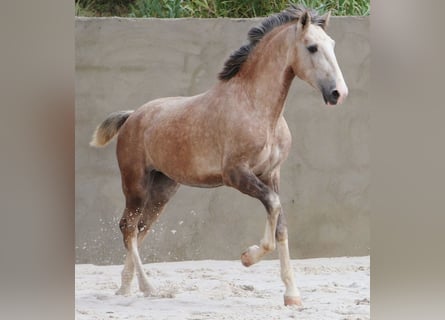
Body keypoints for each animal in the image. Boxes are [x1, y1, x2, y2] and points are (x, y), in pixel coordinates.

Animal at [90, 4, 346, 304]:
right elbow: (273, 207)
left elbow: (281, 224)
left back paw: (125, 287)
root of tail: (132, 117)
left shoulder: (272, 174)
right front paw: (248, 257)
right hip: (136, 186)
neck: (256, 107)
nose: (338, 93)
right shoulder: (236, 175)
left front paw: (292, 296)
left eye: (332, 44)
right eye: (312, 47)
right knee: (128, 228)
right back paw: (147, 287)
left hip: (163, 189)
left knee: (141, 228)